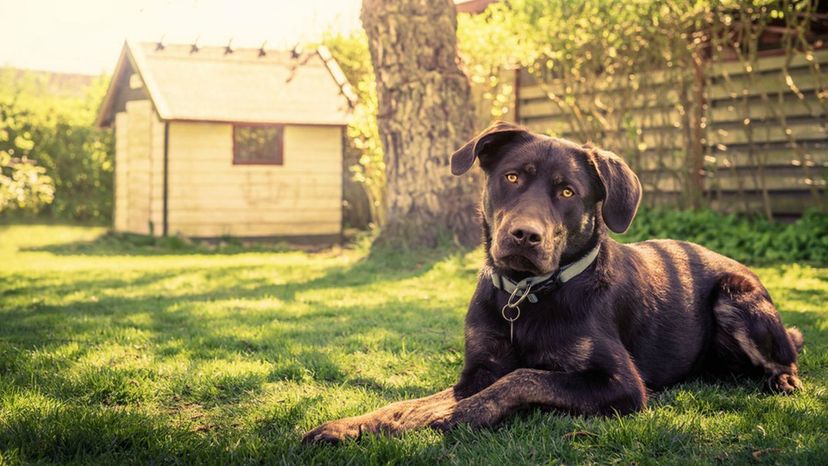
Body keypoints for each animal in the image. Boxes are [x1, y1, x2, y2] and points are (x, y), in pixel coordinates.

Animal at [302, 121, 804, 444]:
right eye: (511, 177)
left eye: (567, 191)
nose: (525, 235)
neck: (528, 296)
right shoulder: (476, 370)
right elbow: (409, 404)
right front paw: (352, 425)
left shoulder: (620, 385)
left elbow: (523, 377)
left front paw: (462, 414)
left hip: (737, 296)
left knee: (788, 357)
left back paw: (782, 380)